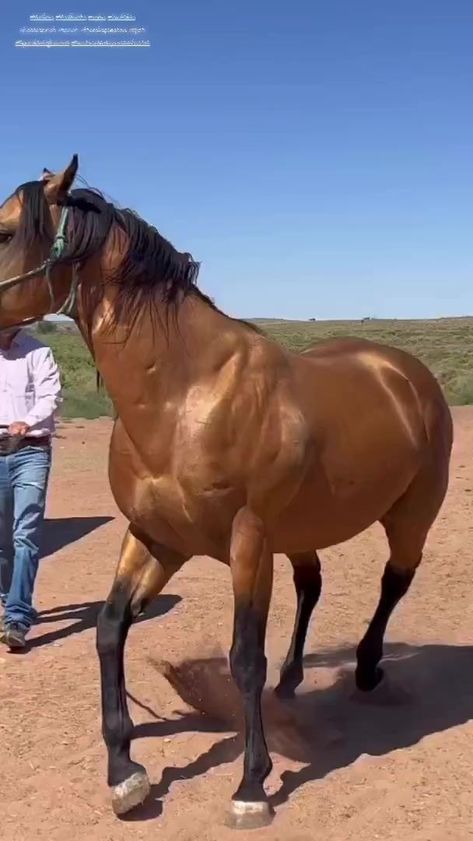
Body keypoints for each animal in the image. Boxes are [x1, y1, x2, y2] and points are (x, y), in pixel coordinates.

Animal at [0, 158, 452, 828]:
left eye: (5, 231)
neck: (184, 397)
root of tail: (405, 372)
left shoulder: (247, 543)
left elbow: (243, 659)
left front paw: (251, 787)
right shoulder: (155, 537)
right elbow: (110, 627)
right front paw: (124, 771)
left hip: (410, 516)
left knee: (393, 582)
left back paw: (368, 668)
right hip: (300, 531)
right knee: (311, 585)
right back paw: (293, 677)